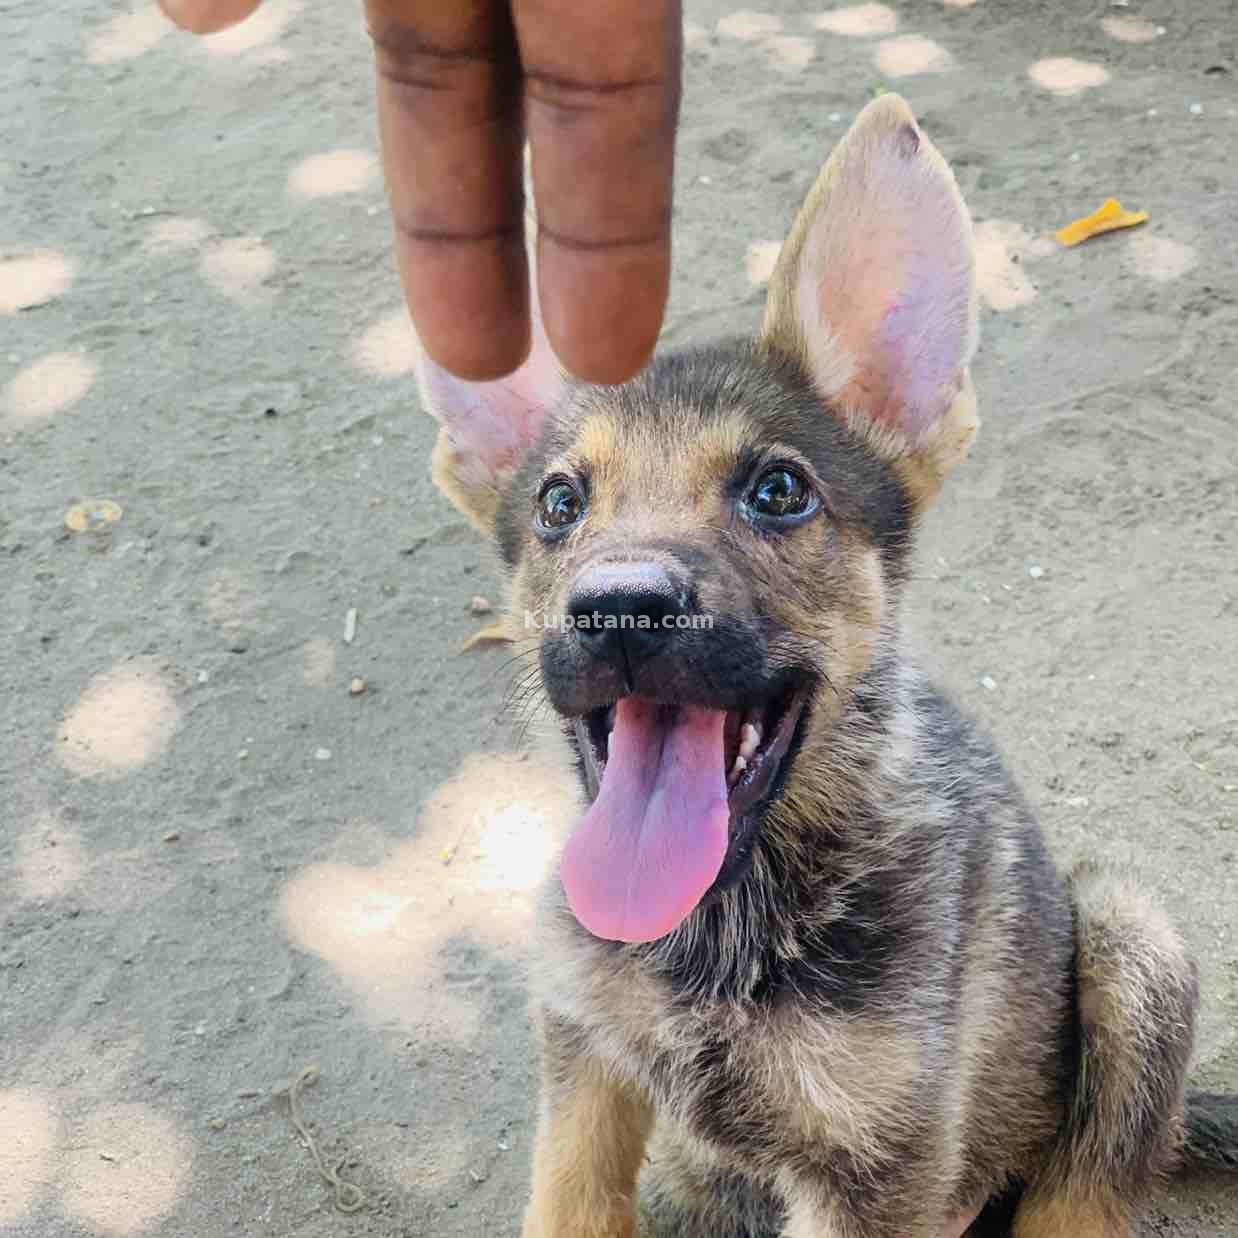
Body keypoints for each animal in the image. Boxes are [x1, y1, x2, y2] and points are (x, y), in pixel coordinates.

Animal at [416, 95, 1238, 1237]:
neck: (715, 931)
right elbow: (566, 1200)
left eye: (777, 491)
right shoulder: (584, 1066)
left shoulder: (873, 1171)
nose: (620, 608)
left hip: (1131, 939)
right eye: (557, 503)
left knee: (1083, 1183)